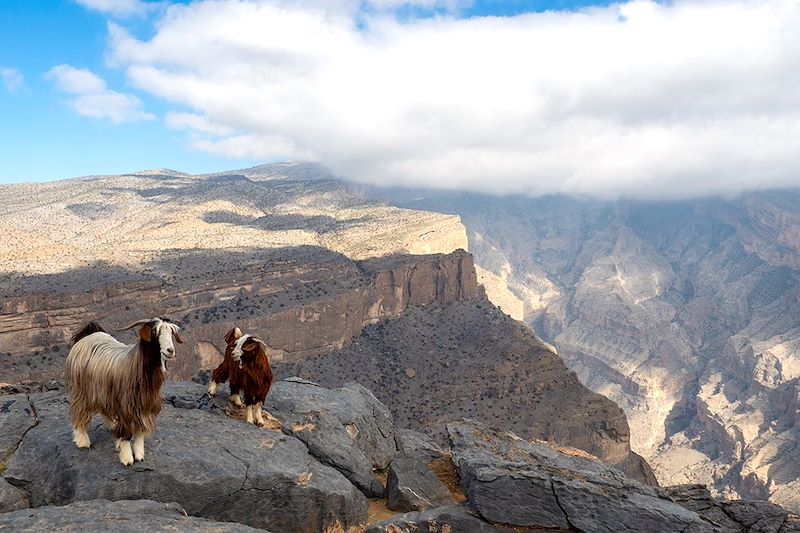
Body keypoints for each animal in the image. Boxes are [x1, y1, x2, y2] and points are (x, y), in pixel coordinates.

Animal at [65, 318, 183, 464]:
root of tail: (88, 334)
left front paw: (139, 454)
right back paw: (82, 441)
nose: (170, 350)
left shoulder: (145, 405)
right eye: (155, 332)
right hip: (81, 390)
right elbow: (126, 433)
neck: (137, 365)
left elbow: (140, 432)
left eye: (171, 332)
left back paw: (112, 426)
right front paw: (127, 458)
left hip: (104, 391)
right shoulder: (126, 406)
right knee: (79, 412)